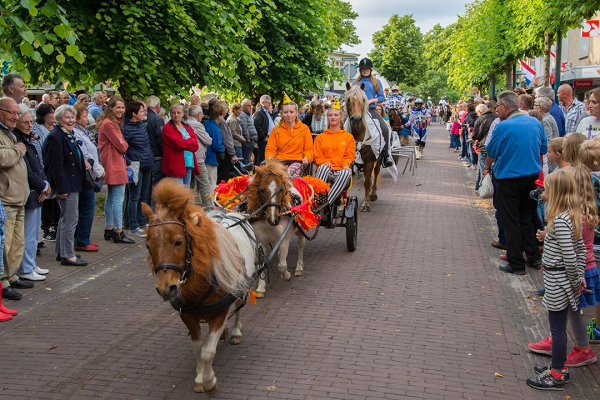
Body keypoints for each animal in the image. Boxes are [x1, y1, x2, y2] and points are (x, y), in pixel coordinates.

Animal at [143, 180, 260, 396]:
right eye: (148, 245)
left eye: (178, 241)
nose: (166, 288)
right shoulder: (187, 315)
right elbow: (197, 347)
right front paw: (199, 378)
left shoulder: (219, 313)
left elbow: (207, 351)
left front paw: (209, 382)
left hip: (242, 287)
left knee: (238, 308)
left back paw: (235, 333)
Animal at [246, 158, 308, 292]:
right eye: (262, 190)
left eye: (281, 190)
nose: (273, 219)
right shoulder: (261, 242)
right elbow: (262, 264)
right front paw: (260, 288)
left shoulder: (284, 238)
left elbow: (282, 265)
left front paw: (287, 275)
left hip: (301, 228)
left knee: (301, 245)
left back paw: (299, 268)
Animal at [344, 82, 382, 212]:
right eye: (348, 99)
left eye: (363, 99)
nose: (356, 119)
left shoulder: (370, 162)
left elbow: (367, 182)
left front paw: (366, 203)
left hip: (379, 159)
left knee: (375, 173)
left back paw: (373, 194)